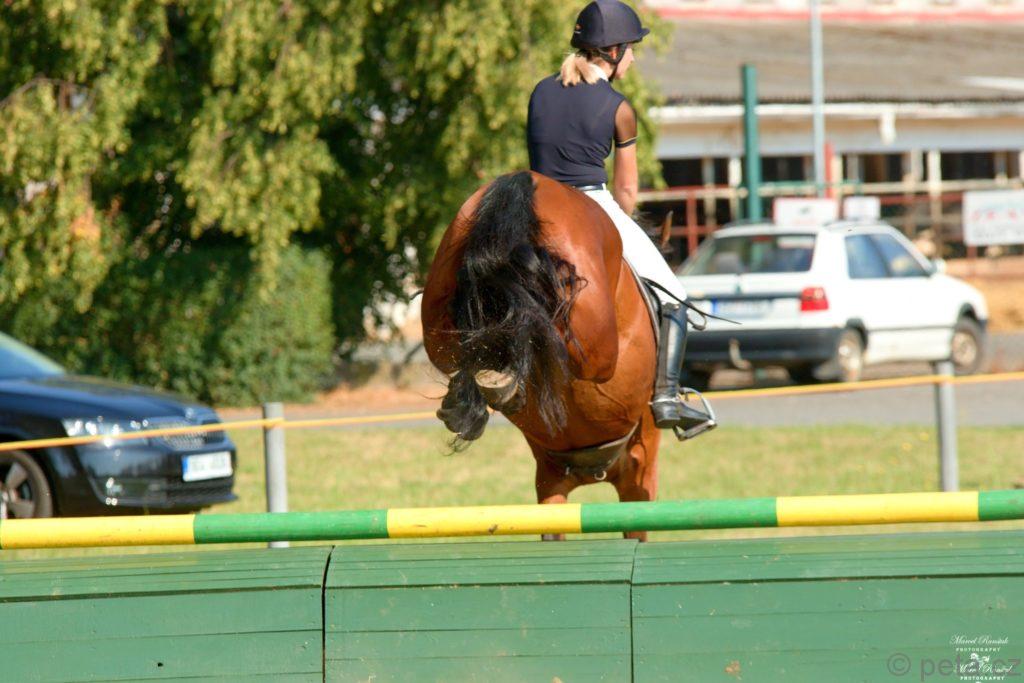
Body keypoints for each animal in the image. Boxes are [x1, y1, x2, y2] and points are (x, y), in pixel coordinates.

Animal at [421, 170, 662, 541]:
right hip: (596, 349)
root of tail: (528, 181)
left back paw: (482, 390)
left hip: (439, 302)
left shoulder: (551, 483)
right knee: (545, 332)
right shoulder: (640, 469)